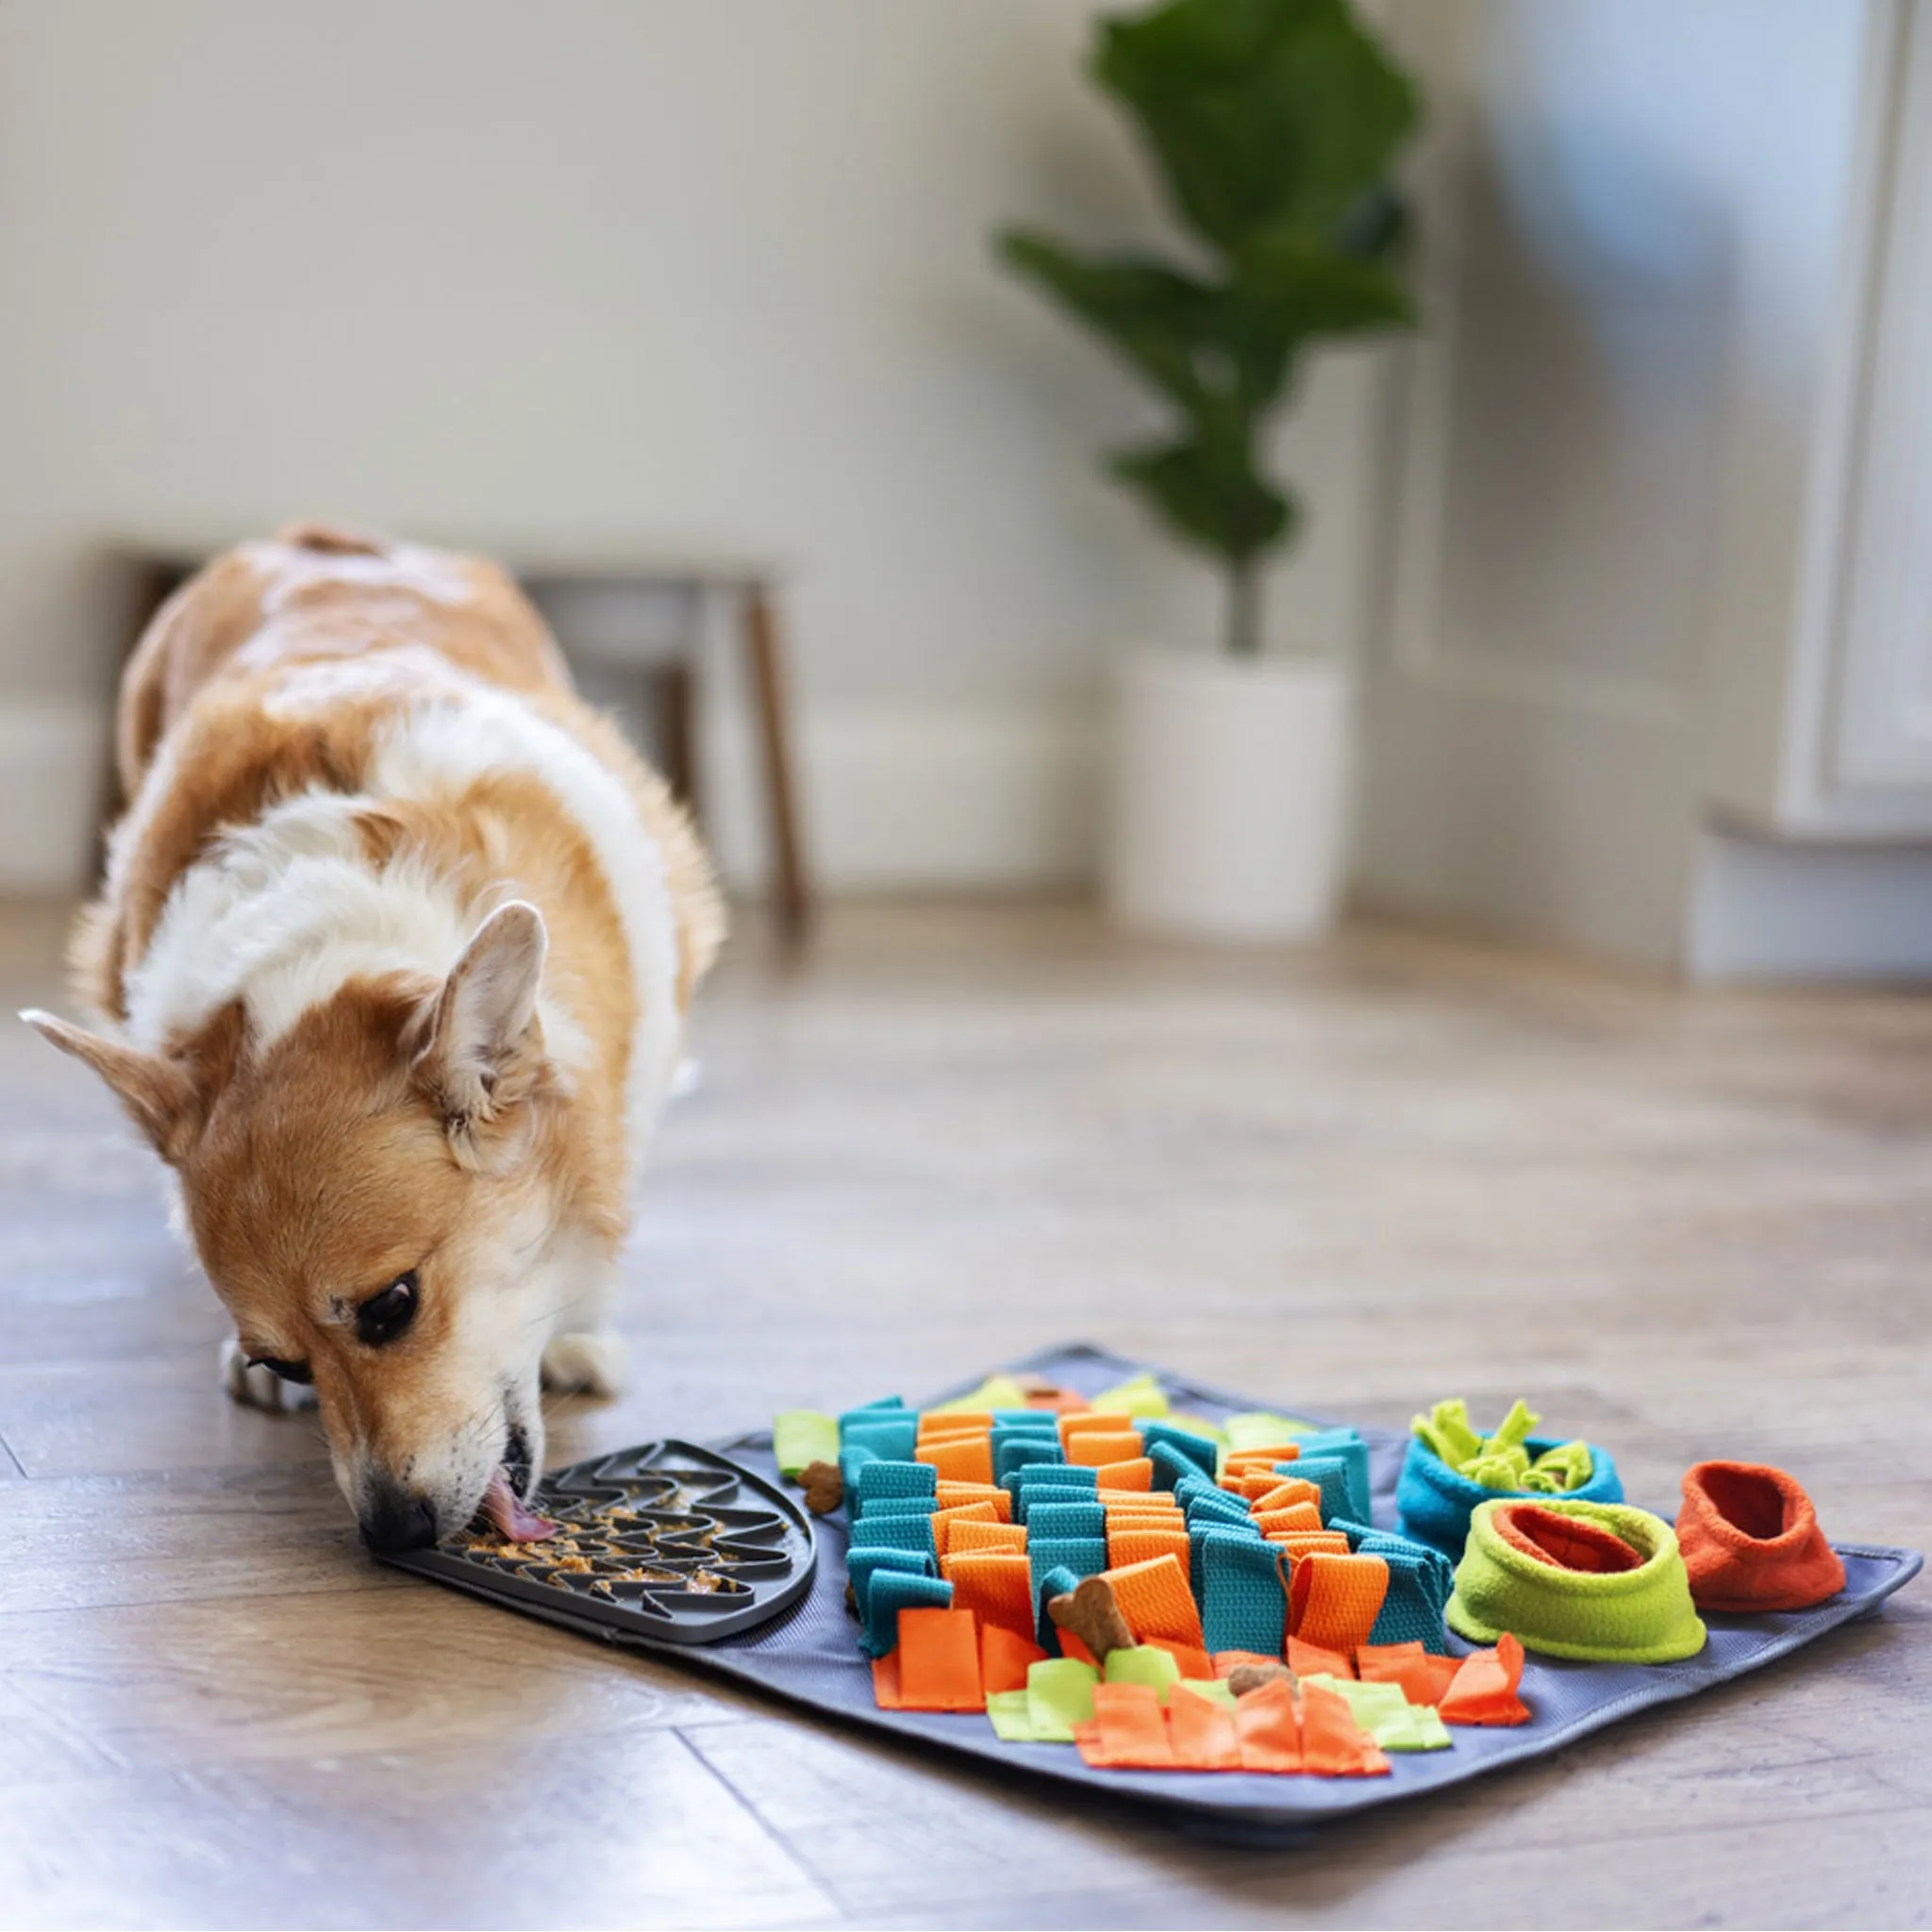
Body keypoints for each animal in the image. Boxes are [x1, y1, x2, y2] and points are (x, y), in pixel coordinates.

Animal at [18, 525, 726, 1553]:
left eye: (393, 1305)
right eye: (287, 1362)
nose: (392, 1532)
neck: (333, 946)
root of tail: (319, 538)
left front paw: (578, 1333)